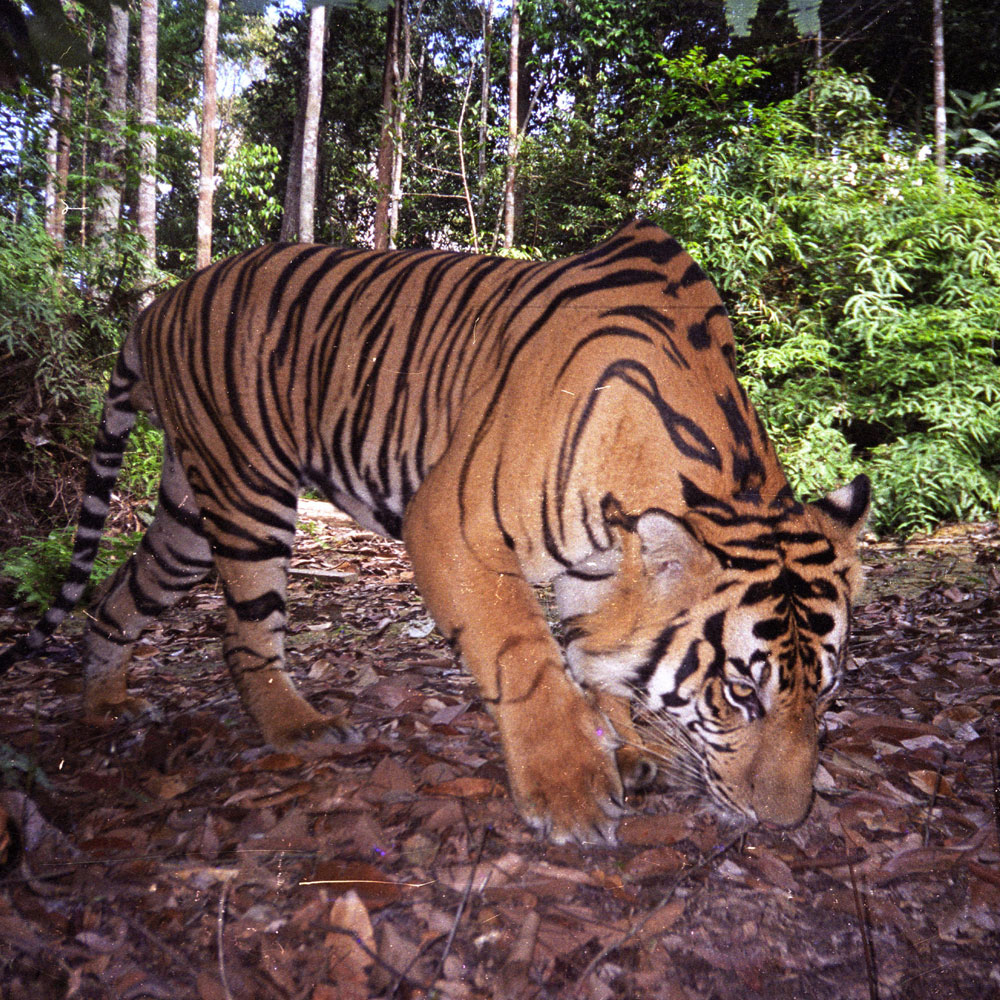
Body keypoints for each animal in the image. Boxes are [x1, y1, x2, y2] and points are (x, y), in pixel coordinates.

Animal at [0, 221, 868, 844]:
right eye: (739, 694)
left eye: (825, 696)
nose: (786, 822)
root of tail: (158, 303)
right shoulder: (451, 521)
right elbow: (525, 655)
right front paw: (572, 791)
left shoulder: (594, 571)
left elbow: (597, 662)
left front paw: (627, 747)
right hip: (248, 492)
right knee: (241, 631)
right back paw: (300, 728)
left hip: (186, 507)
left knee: (116, 598)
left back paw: (102, 707)